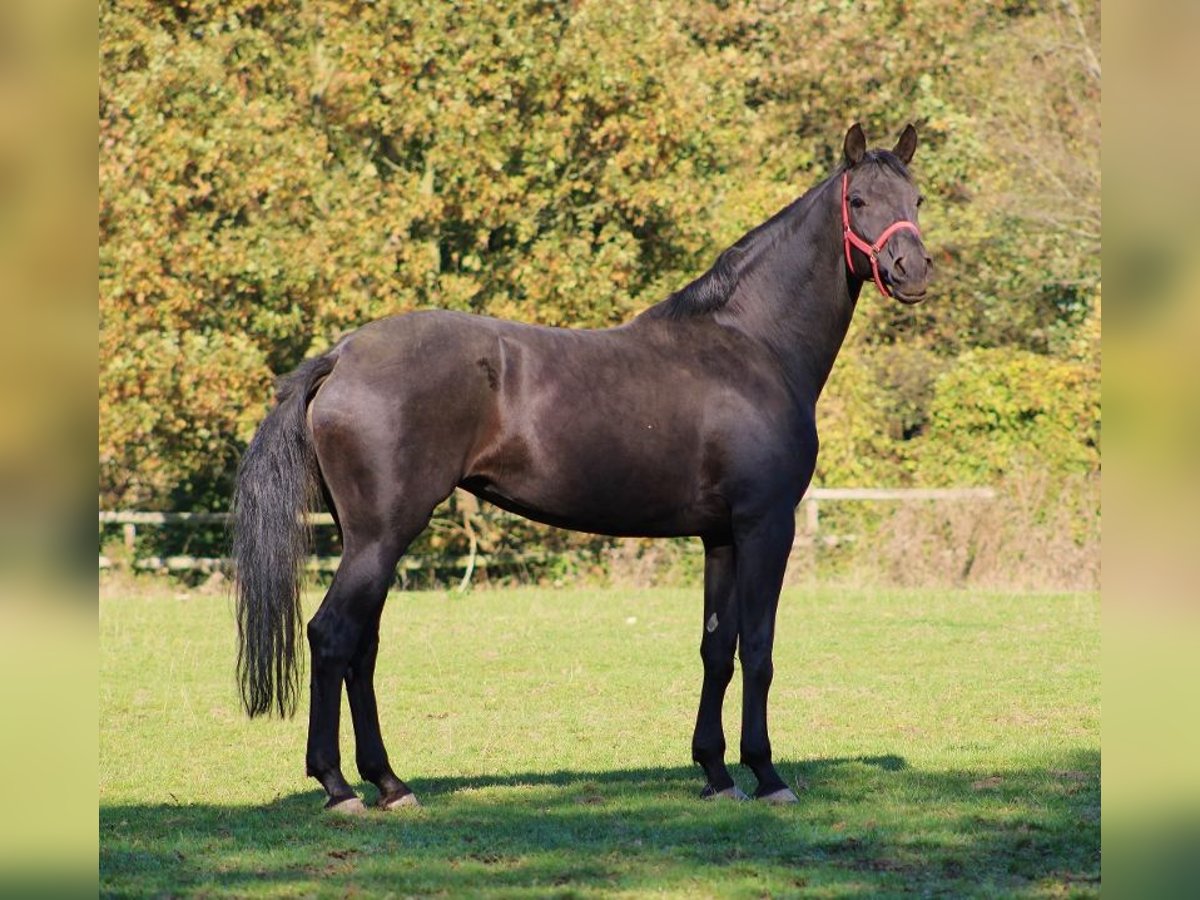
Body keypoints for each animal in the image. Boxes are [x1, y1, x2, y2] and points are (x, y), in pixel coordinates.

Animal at [231, 123, 926, 816]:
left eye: (916, 199)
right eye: (859, 200)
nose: (913, 271)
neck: (752, 345)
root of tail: (341, 356)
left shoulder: (721, 537)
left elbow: (716, 649)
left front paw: (715, 772)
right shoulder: (766, 526)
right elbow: (758, 649)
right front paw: (767, 774)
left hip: (368, 541)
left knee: (363, 647)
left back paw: (389, 783)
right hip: (380, 537)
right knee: (333, 636)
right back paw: (339, 786)